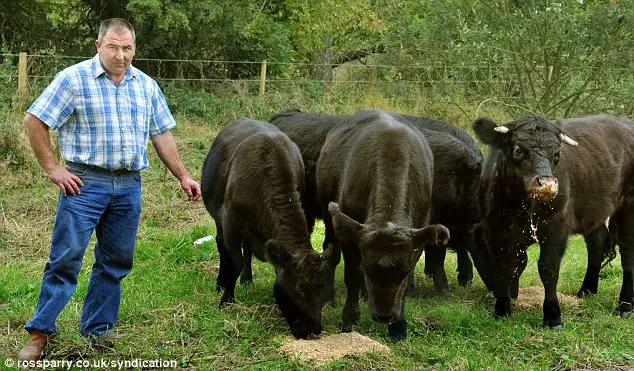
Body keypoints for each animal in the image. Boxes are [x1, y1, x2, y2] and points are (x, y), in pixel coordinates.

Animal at [200, 118, 338, 340]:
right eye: (299, 290)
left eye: (324, 292)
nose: (314, 330)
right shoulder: (231, 224)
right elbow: (235, 262)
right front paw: (227, 300)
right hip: (218, 218)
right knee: (221, 246)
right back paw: (221, 282)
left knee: (247, 249)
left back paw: (247, 278)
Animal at [314, 109, 446, 340]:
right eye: (368, 268)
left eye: (403, 272)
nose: (385, 316)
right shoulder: (350, 235)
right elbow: (352, 276)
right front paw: (349, 318)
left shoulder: (417, 239)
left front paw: (399, 326)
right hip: (329, 218)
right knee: (331, 253)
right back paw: (329, 296)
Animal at [470, 115, 632, 330]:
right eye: (518, 150)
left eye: (557, 153)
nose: (547, 183)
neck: (520, 207)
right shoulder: (495, 230)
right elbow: (505, 268)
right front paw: (502, 310)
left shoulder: (556, 228)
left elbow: (548, 269)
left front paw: (553, 317)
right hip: (592, 212)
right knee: (597, 243)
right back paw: (587, 291)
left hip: (628, 207)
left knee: (627, 253)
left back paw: (625, 306)